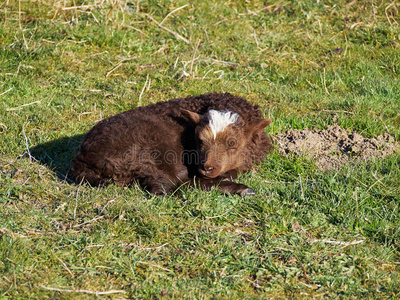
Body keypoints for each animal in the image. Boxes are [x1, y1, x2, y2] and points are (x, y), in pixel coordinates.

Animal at [70, 94, 274, 197]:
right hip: (148, 153)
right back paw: (242, 189)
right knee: (168, 188)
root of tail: (81, 160)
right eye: (199, 140)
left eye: (233, 145)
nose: (206, 167)